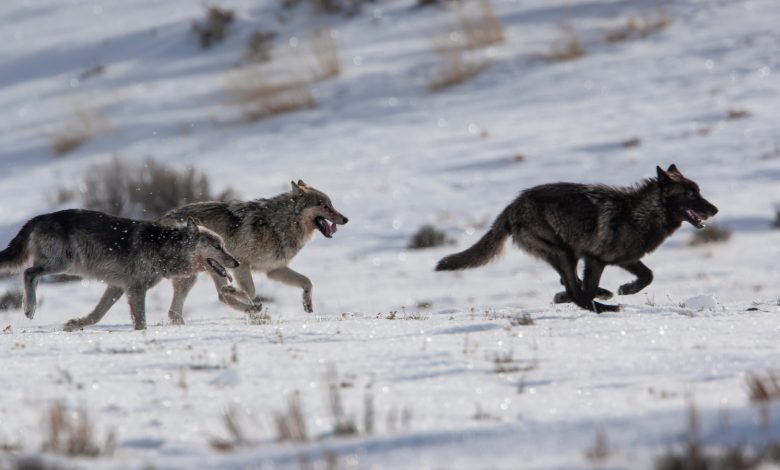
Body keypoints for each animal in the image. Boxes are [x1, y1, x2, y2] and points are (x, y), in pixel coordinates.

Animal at [0, 209, 241, 330]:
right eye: (217, 246)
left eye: (224, 245)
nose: (237, 262)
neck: (164, 247)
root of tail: (36, 218)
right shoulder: (136, 289)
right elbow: (141, 322)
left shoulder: (117, 287)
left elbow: (97, 314)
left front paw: (75, 324)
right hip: (63, 264)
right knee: (29, 273)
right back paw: (29, 308)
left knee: (31, 273)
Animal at [158, 180, 348, 324]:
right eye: (324, 205)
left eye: (331, 204)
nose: (346, 219)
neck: (279, 224)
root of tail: (160, 219)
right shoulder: (241, 264)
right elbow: (251, 292)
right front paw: (235, 292)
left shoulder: (274, 270)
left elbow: (308, 281)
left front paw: (307, 304)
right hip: (199, 273)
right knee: (211, 299)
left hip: (209, 271)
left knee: (185, 308)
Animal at [436, 165, 716, 312]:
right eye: (690, 194)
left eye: (699, 191)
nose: (715, 210)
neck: (640, 213)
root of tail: (512, 206)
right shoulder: (595, 259)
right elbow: (587, 290)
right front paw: (601, 298)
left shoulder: (626, 259)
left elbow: (648, 276)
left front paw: (626, 289)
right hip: (564, 254)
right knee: (577, 290)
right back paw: (601, 305)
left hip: (566, 255)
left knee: (572, 284)